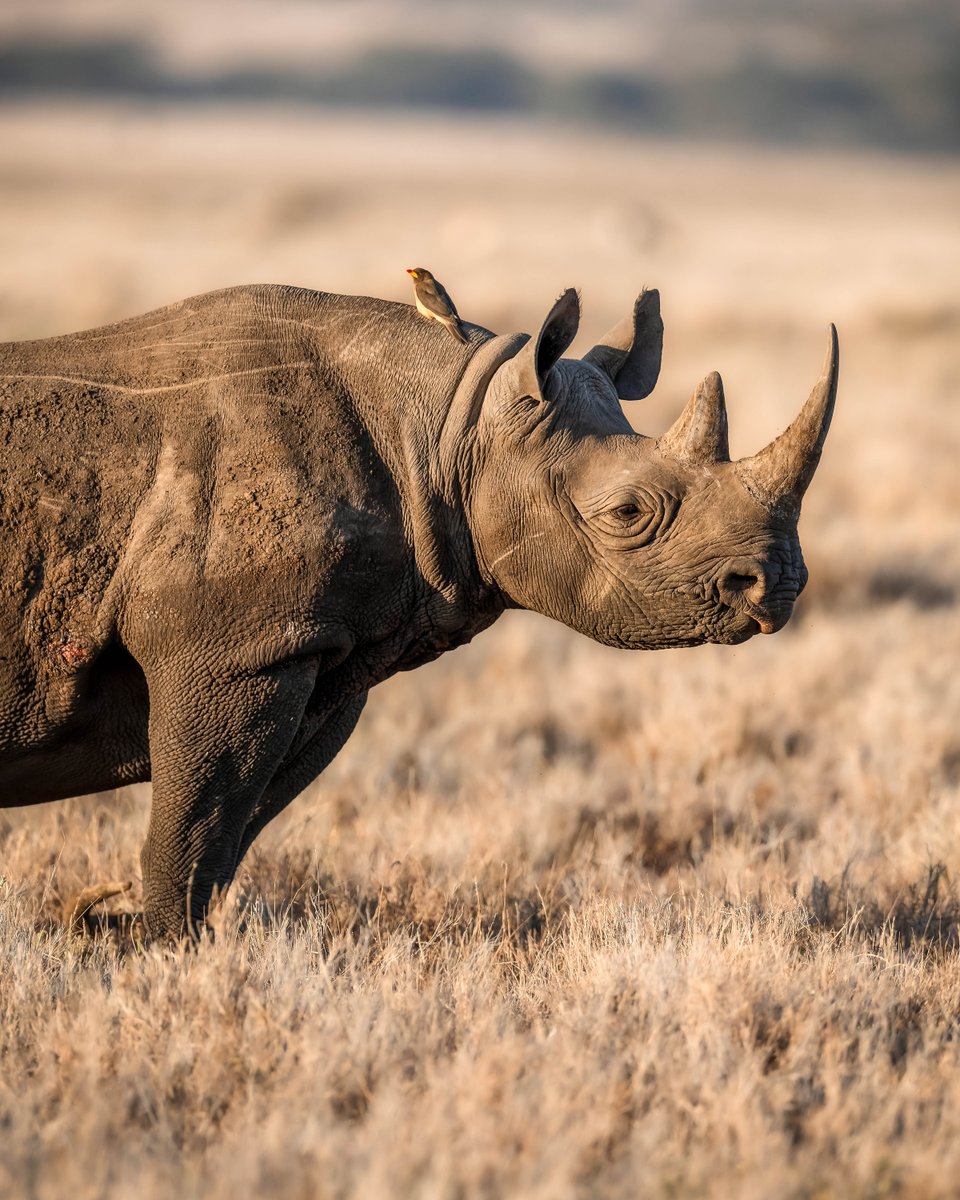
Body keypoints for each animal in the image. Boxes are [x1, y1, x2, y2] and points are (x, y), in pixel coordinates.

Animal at [0, 283, 838, 940]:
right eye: (627, 513)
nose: (778, 584)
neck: (449, 421)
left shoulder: (319, 651)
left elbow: (235, 828)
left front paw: (111, 920)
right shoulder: (238, 649)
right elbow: (196, 835)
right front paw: (167, 956)